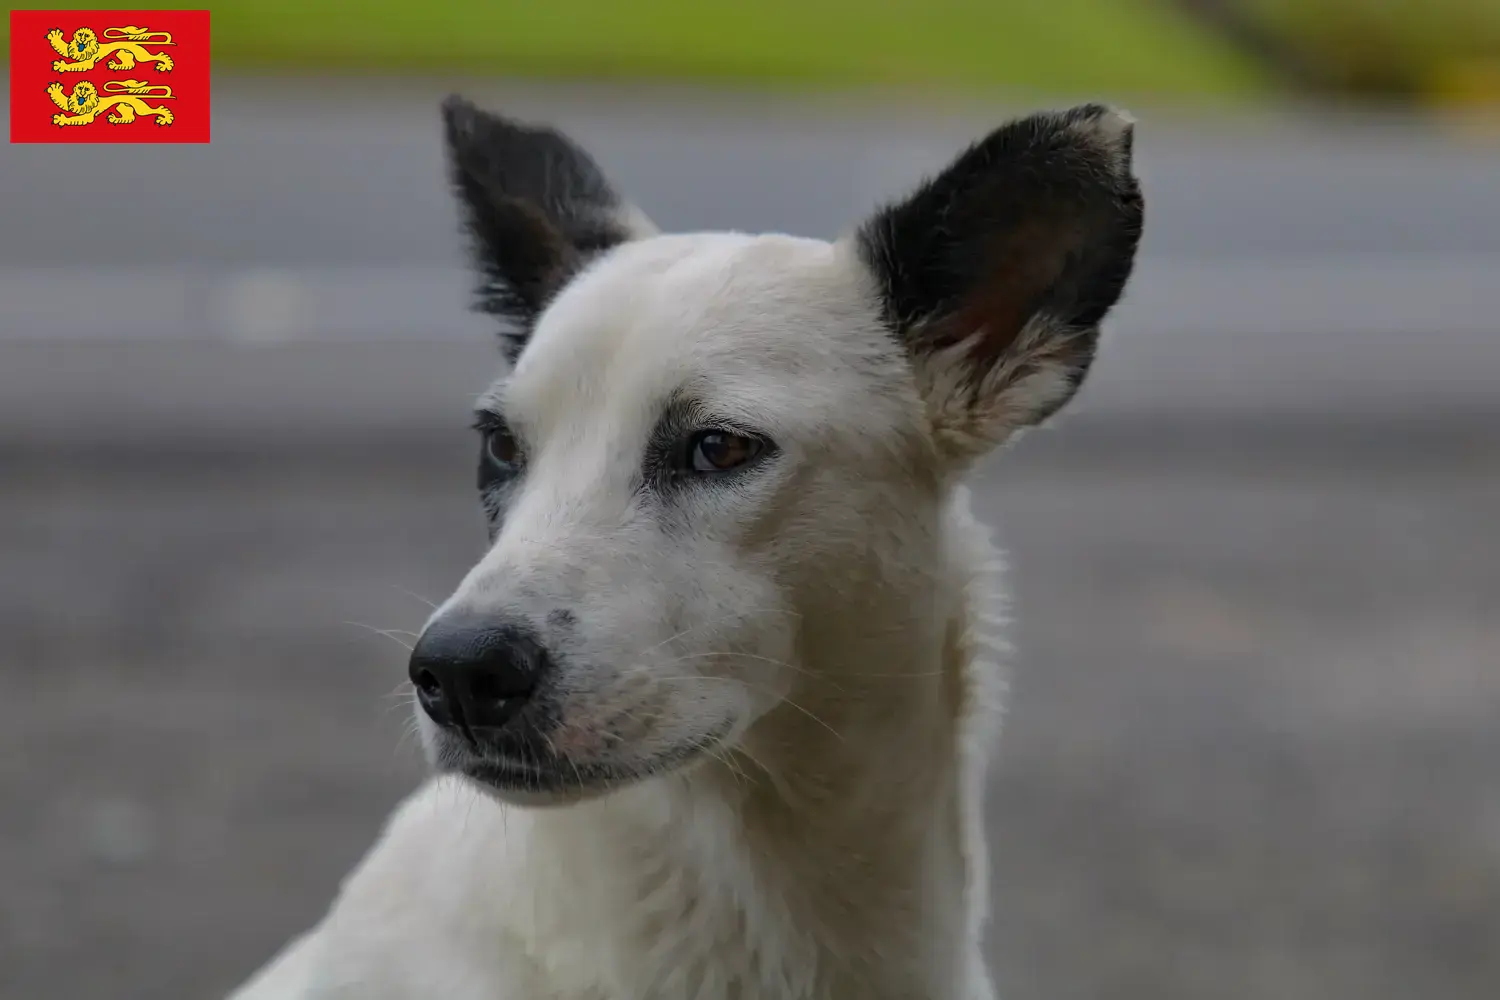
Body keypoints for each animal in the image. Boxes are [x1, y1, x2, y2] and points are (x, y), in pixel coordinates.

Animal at [46, 26, 174, 74]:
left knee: (157, 55)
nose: (82, 39)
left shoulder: (88, 62)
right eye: (80, 34)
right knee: (129, 63)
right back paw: (115, 66)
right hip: (122, 53)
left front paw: (62, 66)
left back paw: (164, 63)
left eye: (87, 36)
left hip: (141, 56)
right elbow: (64, 48)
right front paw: (55, 36)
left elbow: (76, 65)